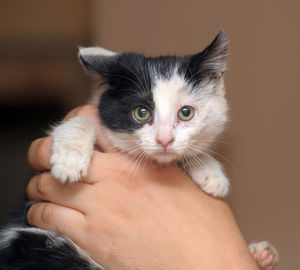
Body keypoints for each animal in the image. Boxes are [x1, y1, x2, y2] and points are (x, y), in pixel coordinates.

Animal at [0, 31, 278, 270]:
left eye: (186, 113)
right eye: (141, 113)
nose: (164, 140)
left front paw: (209, 171)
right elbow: (83, 120)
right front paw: (69, 160)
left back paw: (261, 255)